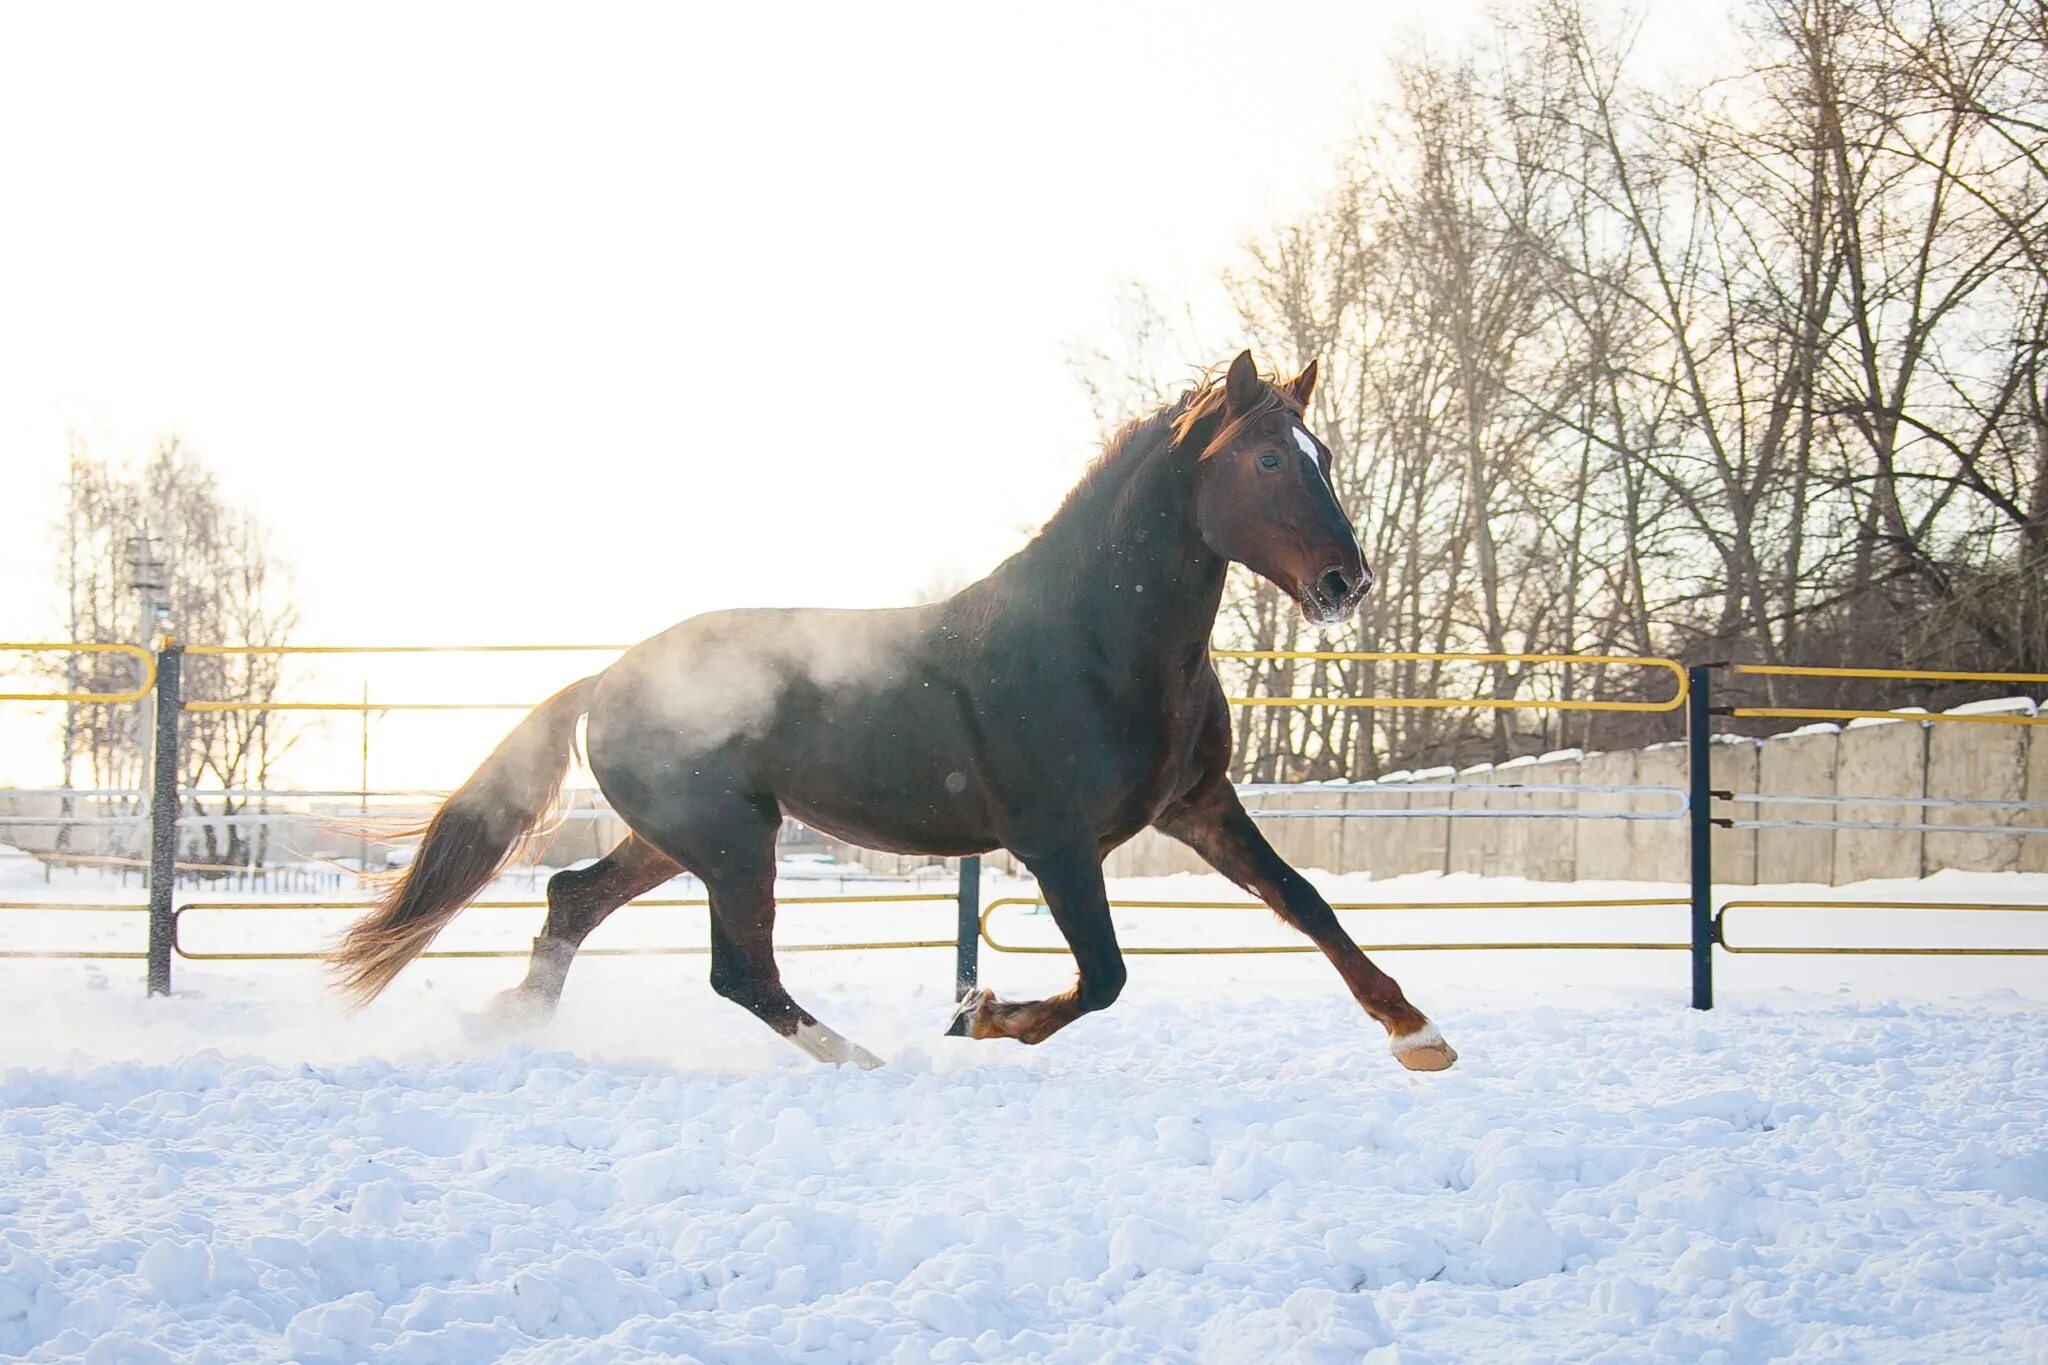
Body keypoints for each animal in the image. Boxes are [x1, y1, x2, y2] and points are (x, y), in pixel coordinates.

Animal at [335, 356, 1458, 1080]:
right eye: (1268, 461)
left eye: (1321, 450)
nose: (1345, 581)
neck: (1096, 641)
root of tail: (603, 678)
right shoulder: (1054, 843)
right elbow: (1102, 976)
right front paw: (985, 1016)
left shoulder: (1199, 805)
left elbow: (1305, 901)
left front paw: (1418, 1034)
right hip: (732, 841)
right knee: (739, 970)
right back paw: (868, 1063)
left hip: (683, 839)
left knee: (573, 899)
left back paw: (509, 1024)